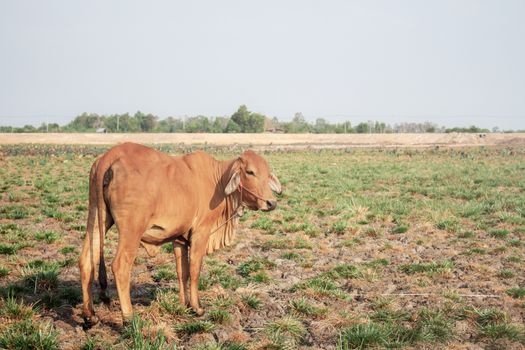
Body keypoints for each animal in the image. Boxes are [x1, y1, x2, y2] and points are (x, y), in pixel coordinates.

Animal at [78, 142, 280, 326]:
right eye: (250, 172)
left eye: (267, 172)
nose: (271, 203)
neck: (218, 181)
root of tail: (110, 156)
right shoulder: (201, 233)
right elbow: (194, 269)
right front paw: (197, 307)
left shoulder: (180, 239)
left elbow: (182, 271)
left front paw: (184, 305)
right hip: (131, 230)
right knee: (120, 266)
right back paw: (129, 318)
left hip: (97, 218)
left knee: (86, 260)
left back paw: (90, 315)